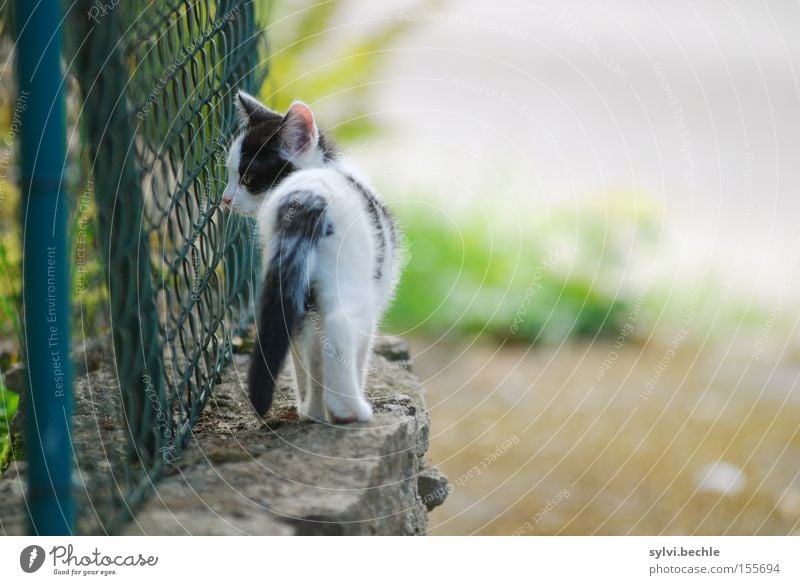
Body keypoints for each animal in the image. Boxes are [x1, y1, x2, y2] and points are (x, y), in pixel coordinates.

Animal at [222, 91, 400, 422]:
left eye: (248, 177)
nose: (225, 199)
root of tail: (306, 196)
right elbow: (356, 353)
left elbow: (310, 358)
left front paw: (312, 410)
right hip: (351, 280)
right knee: (343, 329)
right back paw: (351, 409)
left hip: (286, 281)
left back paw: (317, 411)